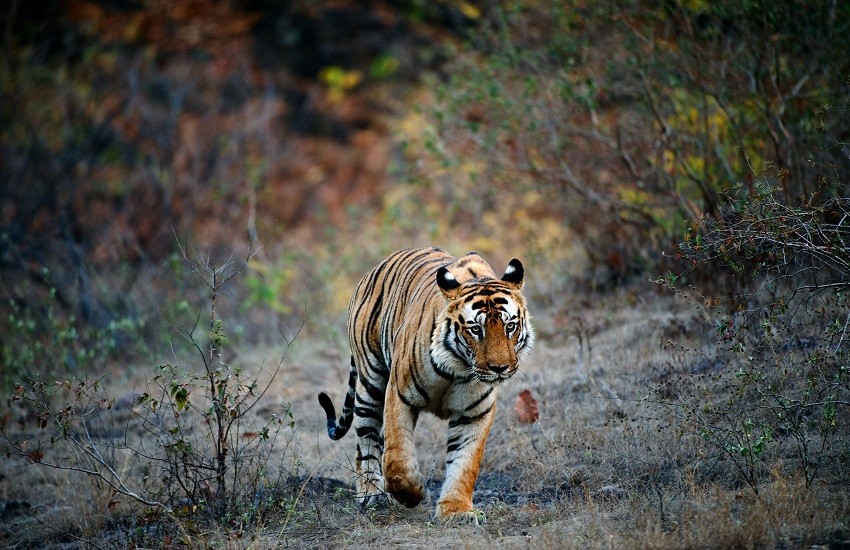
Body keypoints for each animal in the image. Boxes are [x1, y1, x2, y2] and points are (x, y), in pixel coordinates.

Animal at [314, 248, 532, 528]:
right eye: (475, 329)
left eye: (510, 326)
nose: (500, 368)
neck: (458, 369)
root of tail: (374, 269)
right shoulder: (399, 395)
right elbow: (398, 461)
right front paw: (414, 492)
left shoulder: (475, 413)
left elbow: (465, 463)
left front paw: (456, 511)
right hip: (370, 384)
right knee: (366, 441)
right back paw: (371, 494)